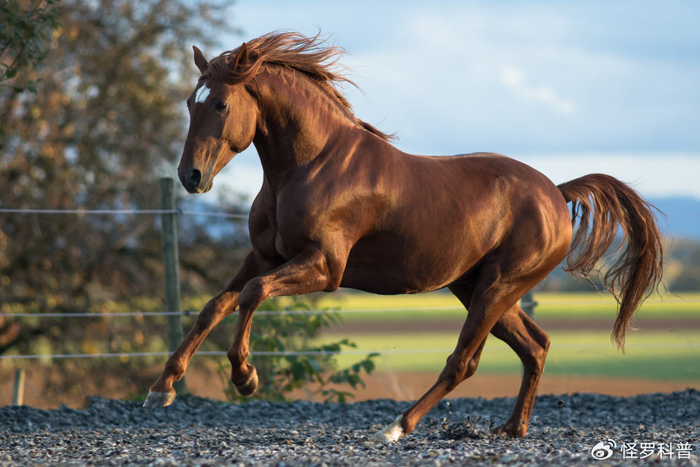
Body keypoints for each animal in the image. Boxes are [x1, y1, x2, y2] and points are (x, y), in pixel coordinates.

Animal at [143, 32, 663, 441]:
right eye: (190, 103)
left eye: (220, 103)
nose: (190, 176)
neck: (310, 166)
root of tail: (556, 192)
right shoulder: (263, 257)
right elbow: (215, 305)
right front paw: (161, 389)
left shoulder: (324, 268)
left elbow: (251, 295)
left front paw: (246, 377)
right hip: (477, 287)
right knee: (535, 346)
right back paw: (512, 429)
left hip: (497, 287)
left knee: (465, 361)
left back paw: (396, 426)